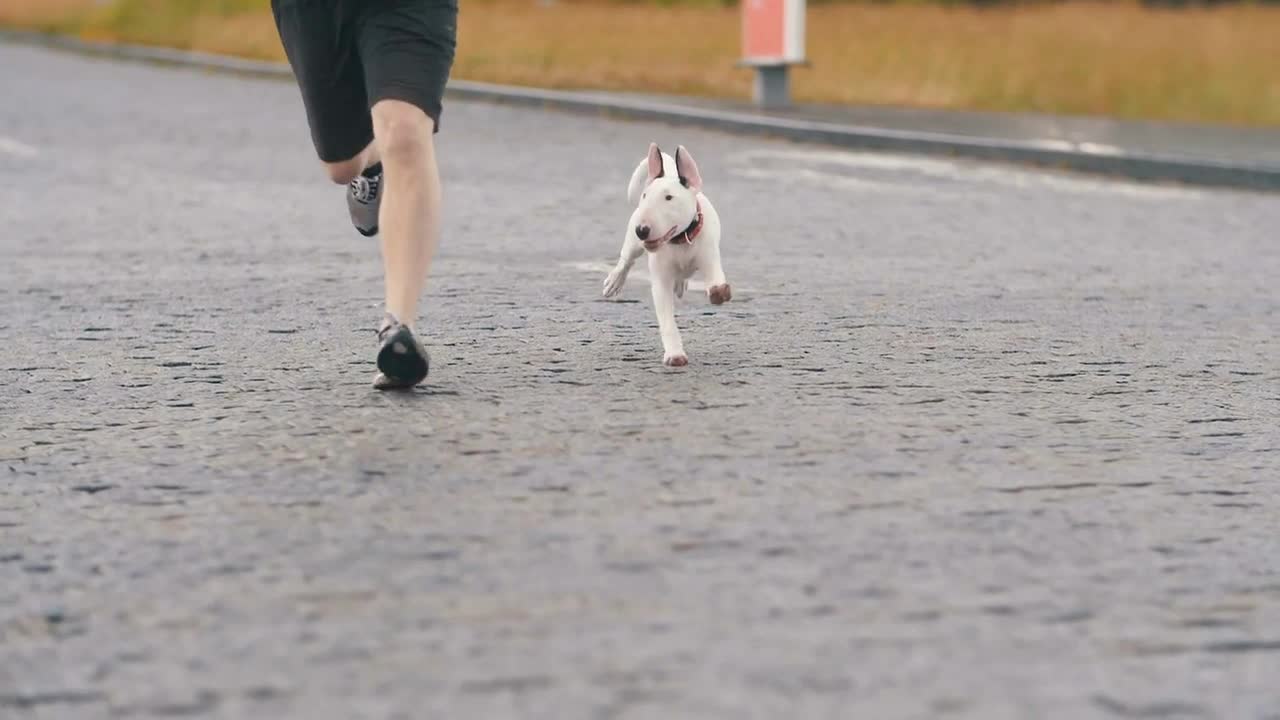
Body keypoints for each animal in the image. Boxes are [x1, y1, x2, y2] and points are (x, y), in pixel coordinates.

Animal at [599, 141, 732, 363]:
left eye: (669, 198)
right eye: (644, 196)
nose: (642, 230)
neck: (681, 241)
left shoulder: (709, 256)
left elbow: (716, 280)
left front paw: (718, 293)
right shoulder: (660, 281)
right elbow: (666, 320)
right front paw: (675, 354)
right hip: (633, 244)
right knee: (626, 261)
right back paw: (614, 281)